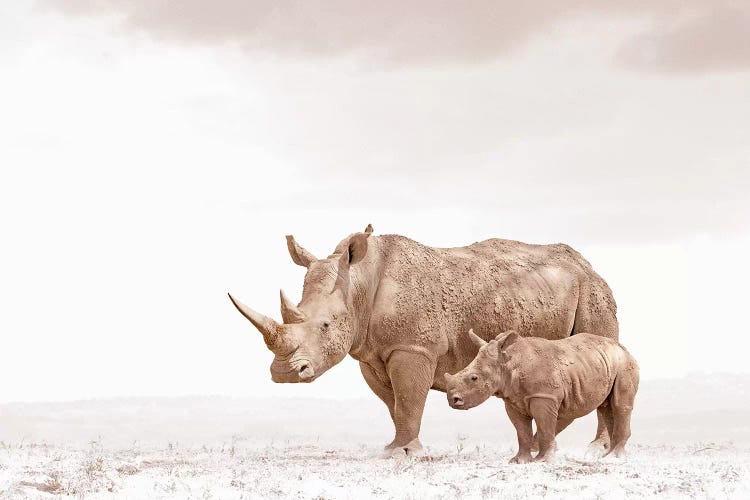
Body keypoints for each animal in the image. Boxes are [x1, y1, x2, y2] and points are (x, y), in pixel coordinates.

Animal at [232, 227, 620, 458]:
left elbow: (408, 399)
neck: (359, 283)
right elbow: (394, 404)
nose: (285, 373)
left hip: (593, 290)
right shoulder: (371, 353)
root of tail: (588, 264)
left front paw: (406, 454)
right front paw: (393, 448)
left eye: (326, 325)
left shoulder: (412, 347)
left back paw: (595, 450)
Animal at [446, 330, 640, 462]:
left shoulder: (544, 396)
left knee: (619, 405)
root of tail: (625, 349)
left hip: (624, 364)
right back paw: (607, 456)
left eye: (474, 378)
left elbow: (545, 426)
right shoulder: (512, 400)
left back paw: (613, 457)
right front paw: (518, 461)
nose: (453, 400)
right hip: (604, 363)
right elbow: (521, 431)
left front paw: (543, 460)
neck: (509, 362)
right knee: (606, 407)